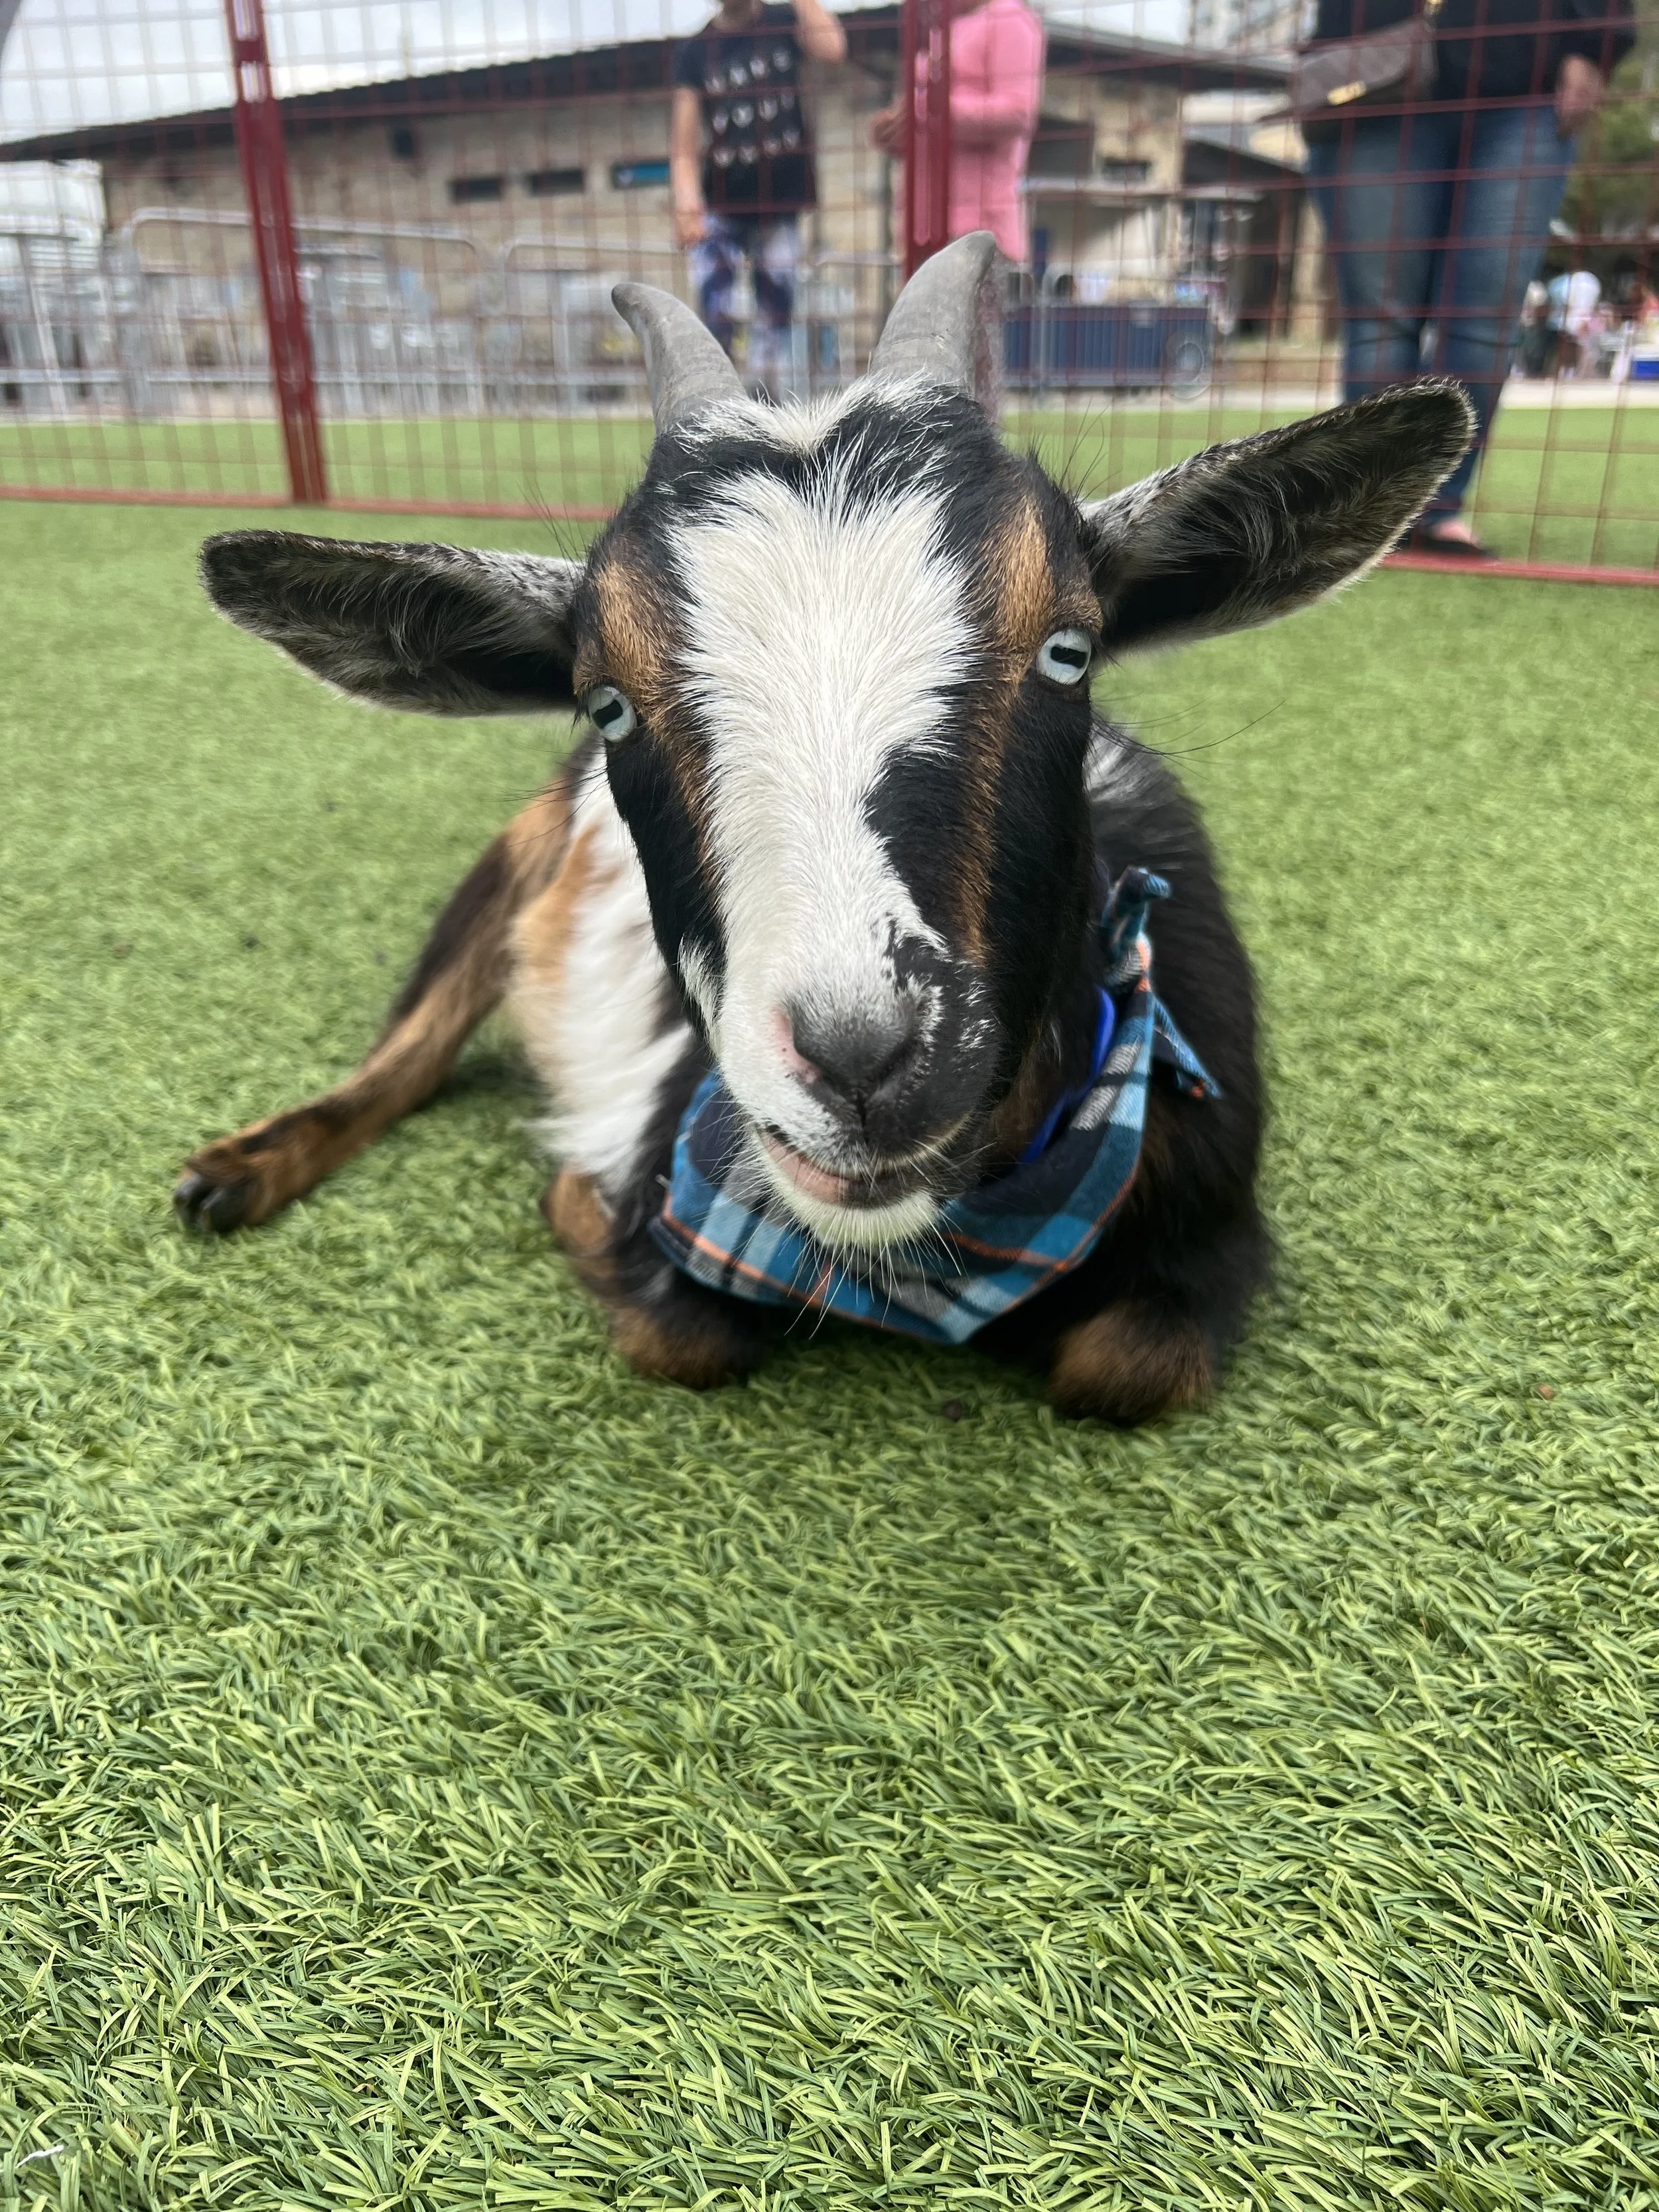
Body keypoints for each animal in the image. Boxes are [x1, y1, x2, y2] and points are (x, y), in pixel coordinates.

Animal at [176, 233, 1471, 1424]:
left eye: (1070, 649)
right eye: (606, 701)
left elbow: (1130, 1365)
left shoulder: (1211, 1224)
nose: (861, 1060)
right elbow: (675, 1330)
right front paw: (577, 1195)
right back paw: (231, 1175)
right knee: (409, 1047)